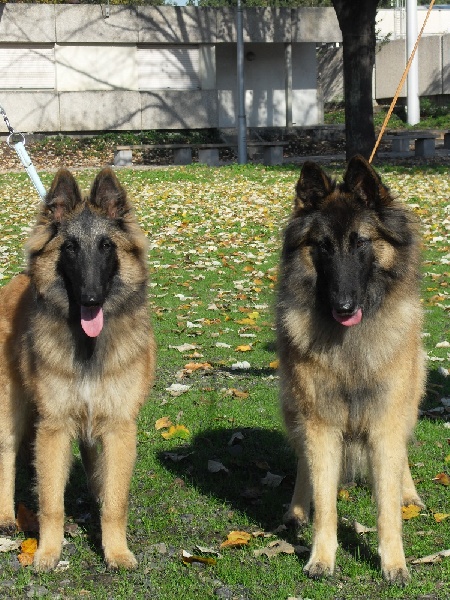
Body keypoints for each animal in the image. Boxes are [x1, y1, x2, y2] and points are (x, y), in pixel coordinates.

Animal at [0, 167, 156, 571]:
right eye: (70, 247)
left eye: (106, 246)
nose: (90, 299)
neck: (88, 346)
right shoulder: (53, 428)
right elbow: (51, 501)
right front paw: (47, 553)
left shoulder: (118, 427)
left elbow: (116, 502)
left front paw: (116, 551)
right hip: (11, 410)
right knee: (6, 454)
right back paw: (6, 516)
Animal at [276, 155, 425, 585]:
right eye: (323, 246)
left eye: (361, 242)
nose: (343, 306)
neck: (350, 346)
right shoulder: (320, 424)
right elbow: (325, 500)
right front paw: (322, 558)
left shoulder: (385, 422)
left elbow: (387, 507)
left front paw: (394, 563)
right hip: (295, 410)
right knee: (303, 465)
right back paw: (296, 509)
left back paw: (410, 493)